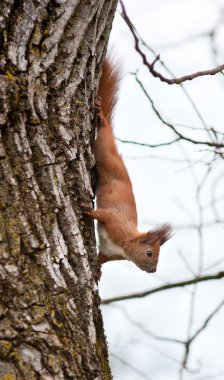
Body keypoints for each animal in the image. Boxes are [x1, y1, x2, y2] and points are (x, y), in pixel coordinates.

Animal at [83, 58, 172, 274]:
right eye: (149, 253)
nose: (153, 270)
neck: (124, 244)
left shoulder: (108, 253)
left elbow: (100, 260)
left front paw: (97, 271)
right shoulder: (114, 221)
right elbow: (102, 214)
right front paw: (87, 210)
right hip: (105, 151)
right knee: (104, 129)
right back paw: (100, 116)